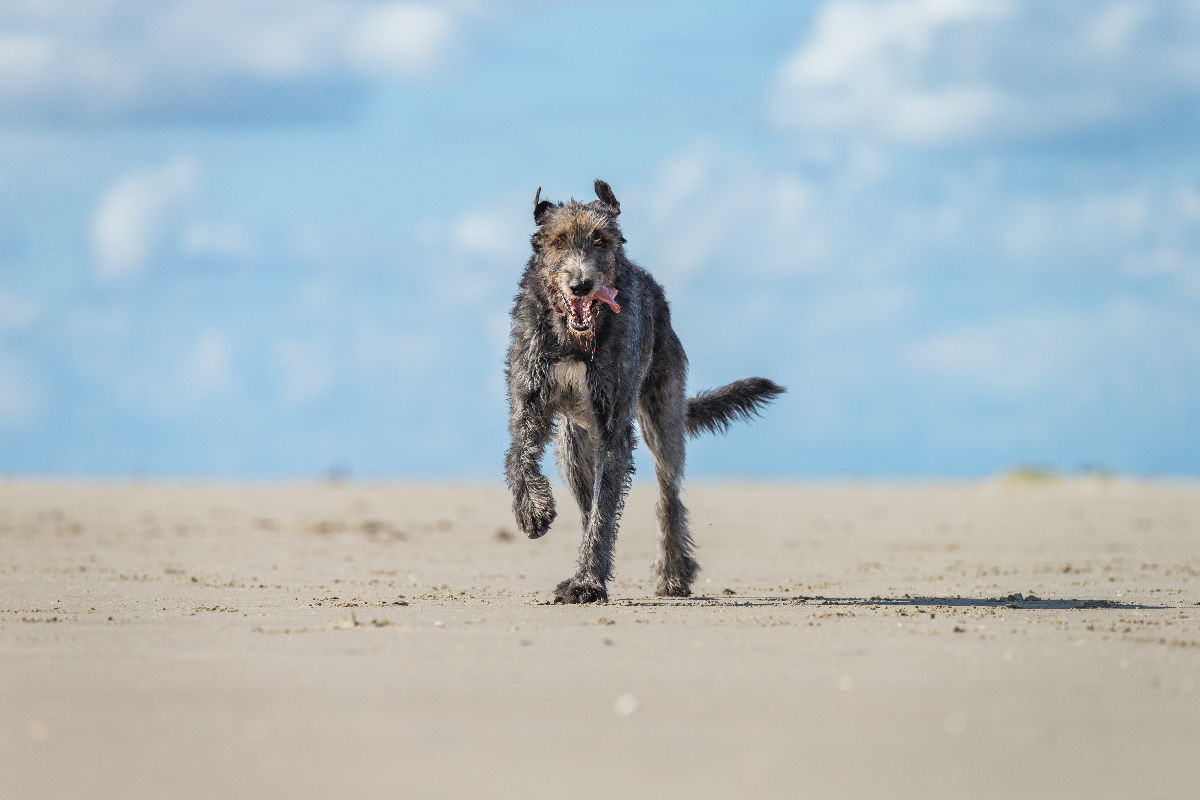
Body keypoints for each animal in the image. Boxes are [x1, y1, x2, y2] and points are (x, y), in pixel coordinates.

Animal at [501, 178, 782, 604]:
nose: (581, 284)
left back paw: (673, 574)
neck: (575, 339)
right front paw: (533, 512)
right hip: (573, 444)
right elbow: (520, 454)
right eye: (558, 240)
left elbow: (605, 509)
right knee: (585, 498)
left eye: (600, 240)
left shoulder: (614, 423)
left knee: (668, 495)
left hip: (661, 416)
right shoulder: (529, 397)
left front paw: (587, 582)